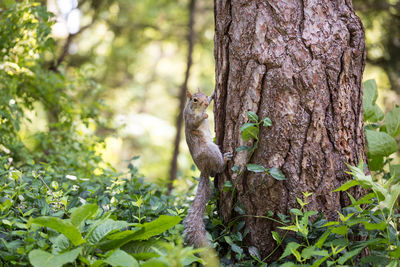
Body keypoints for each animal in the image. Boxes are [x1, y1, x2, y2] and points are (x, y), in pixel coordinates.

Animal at [184, 89, 233, 248]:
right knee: (219, 168)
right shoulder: (189, 120)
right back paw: (225, 160)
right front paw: (204, 116)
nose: (205, 103)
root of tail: (204, 169)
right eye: (194, 99)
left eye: (205, 96)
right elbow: (195, 123)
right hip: (211, 150)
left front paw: (213, 93)